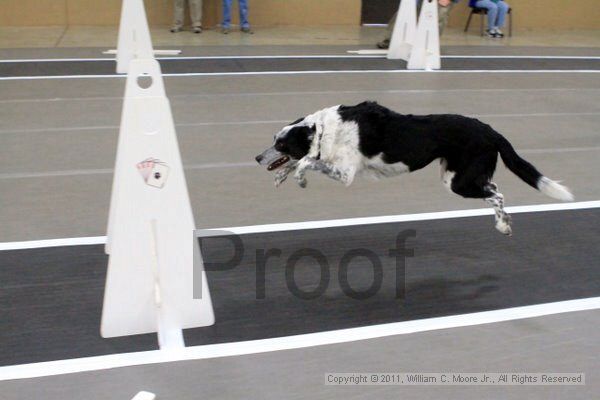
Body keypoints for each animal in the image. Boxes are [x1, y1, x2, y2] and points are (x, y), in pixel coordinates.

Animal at [253, 101, 572, 236]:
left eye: (281, 144)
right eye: (274, 139)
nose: (256, 158)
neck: (322, 129)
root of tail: (490, 130)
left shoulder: (345, 174)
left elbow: (307, 161)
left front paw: (299, 178)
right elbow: (303, 161)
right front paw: (282, 176)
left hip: (457, 182)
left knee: (498, 195)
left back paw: (503, 224)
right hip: (460, 176)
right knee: (493, 189)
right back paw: (503, 223)